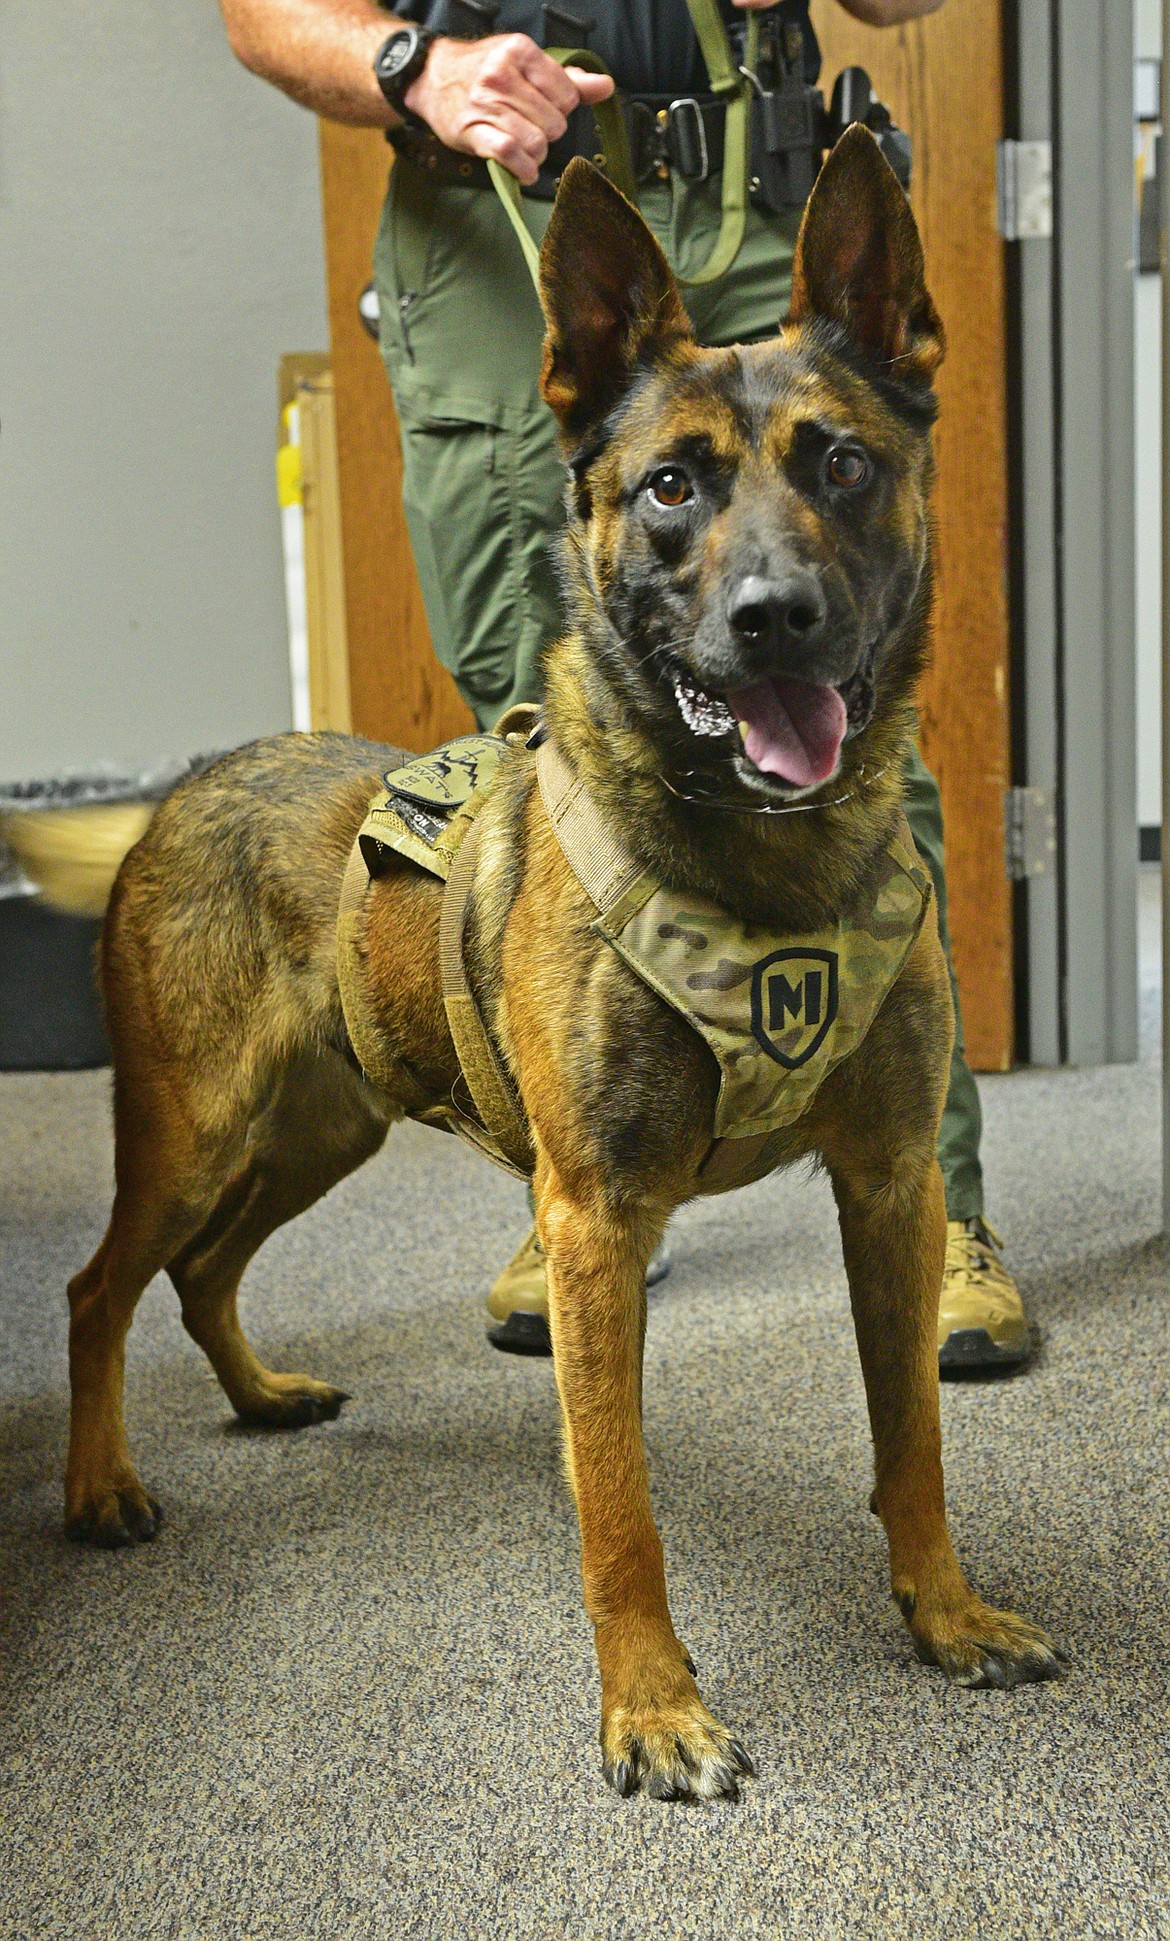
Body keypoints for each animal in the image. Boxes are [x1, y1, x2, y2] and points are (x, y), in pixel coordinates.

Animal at [66, 132, 1071, 1801]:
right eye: (669, 484)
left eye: (841, 464)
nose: (775, 620)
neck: (759, 855)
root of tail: (193, 783)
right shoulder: (594, 1223)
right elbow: (618, 1500)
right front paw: (650, 1708)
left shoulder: (888, 1187)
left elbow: (912, 1441)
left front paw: (944, 1614)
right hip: (194, 1130)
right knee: (101, 1287)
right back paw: (97, 1485)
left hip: (323, 1129)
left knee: (203, 1272)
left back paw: (261, 1396)